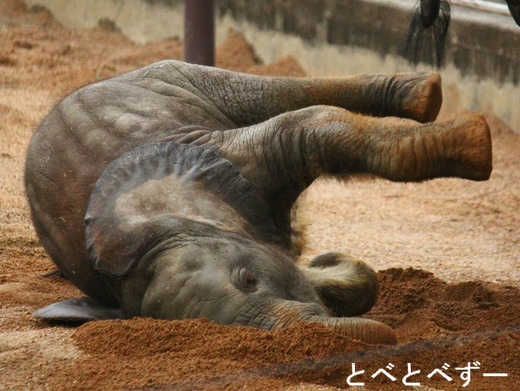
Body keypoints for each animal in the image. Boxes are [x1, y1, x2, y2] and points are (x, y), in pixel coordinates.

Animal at [25, 59, 492, 344]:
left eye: (248, 279)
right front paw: (330, 267)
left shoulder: (223, 160)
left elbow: (310, 126)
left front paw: (476, 145)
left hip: (176, 77)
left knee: (268, 94)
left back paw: (427, 95)